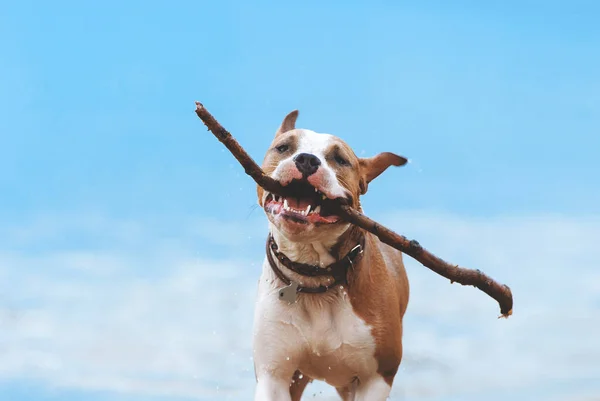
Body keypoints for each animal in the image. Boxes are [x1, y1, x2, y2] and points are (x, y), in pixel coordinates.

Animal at [251, 109, 410, 400]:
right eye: (284, 148)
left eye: (340, 159)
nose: (306, 159)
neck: (314, 277)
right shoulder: (274, 374)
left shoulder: (376, 377)